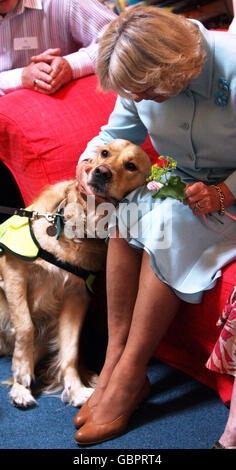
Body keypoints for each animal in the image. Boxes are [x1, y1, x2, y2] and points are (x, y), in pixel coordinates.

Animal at [0, 139, 151, 408]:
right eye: (105, 153)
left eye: (131, 166)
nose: (101, 172)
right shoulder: (14, 270)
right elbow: (25, 326)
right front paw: (21, 373)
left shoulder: (76, 296)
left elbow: (70, 351)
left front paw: (76, 390)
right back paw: (20, 389)